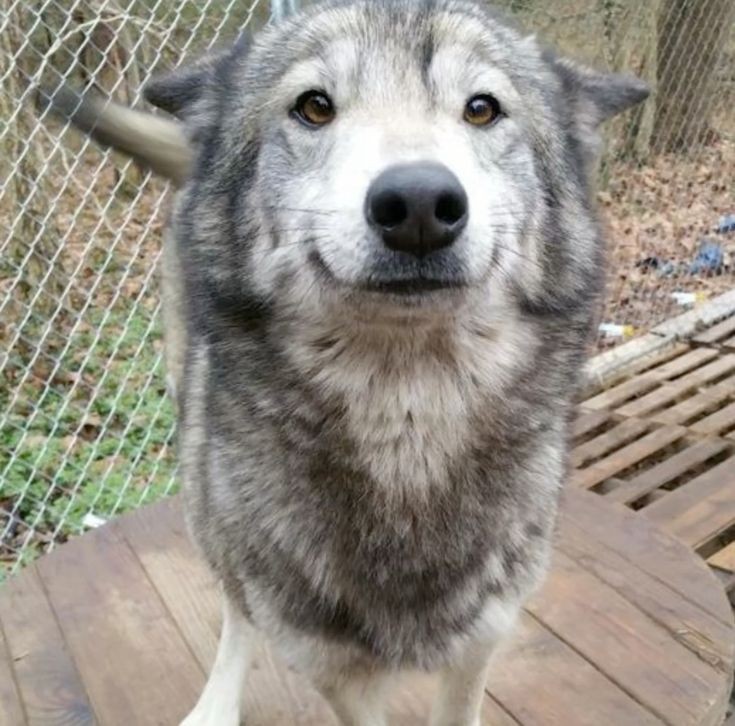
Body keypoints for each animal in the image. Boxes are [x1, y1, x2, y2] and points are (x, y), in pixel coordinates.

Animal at [42, 1, 648, 723]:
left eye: (481, 109)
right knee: (236, 608)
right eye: (313, 106)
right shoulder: (338, 677)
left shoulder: (481, 640)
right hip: (205, 493)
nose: (418, 205)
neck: (407, 433)